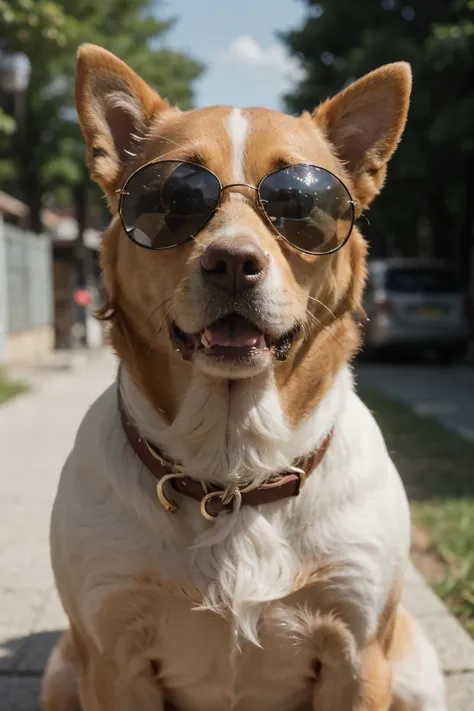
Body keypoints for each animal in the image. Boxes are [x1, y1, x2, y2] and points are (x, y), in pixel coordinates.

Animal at [39, 46, 444, 711]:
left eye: (302, 204)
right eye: (173, 196)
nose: (232, 262)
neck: (232, 471)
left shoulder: (359, 656)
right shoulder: (111, 655)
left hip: (415, 671)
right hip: (63, 668)